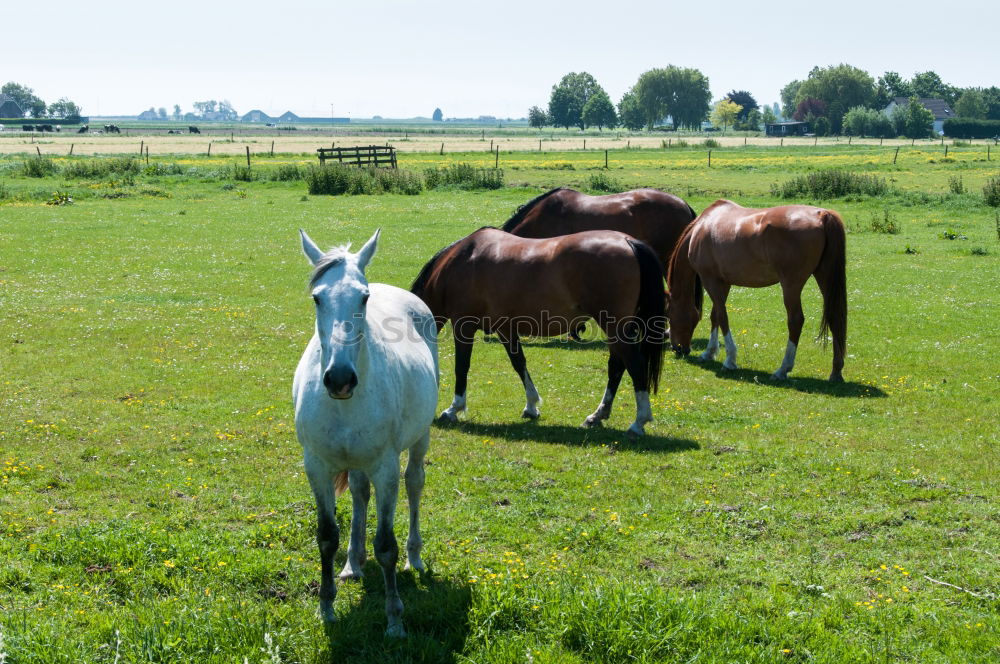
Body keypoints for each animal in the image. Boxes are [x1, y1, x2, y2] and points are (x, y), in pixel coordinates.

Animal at [292, 230, 442, 640]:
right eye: (317, 297)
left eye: (363, 296)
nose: (340, 379)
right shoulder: (317, 466)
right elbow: (326, 535)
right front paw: (326, 608)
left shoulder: (385, 468)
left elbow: (386, 545)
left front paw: (394, 620)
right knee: (360, 495)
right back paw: (353, 563)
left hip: (419, 439)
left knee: (415, 483)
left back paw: (415, 557)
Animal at [410, 226, 668, 438]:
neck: (459, 263)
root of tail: (627, 241)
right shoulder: (505, 329)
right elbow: (519, 363)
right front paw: (531, 407)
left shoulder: (464, 326)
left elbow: (462, 367)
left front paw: (453, 409)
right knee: (616, 367)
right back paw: (597, 415)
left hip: (614, 326)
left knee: (634, 365)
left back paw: (638, 422)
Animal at [668, 200, 848, 382]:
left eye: (668, 313)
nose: (678, 349)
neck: (702, 227)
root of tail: (822, 214)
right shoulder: (723, 283)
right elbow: (715, 316)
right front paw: (708, 353)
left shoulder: (710, 280)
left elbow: (722, 317)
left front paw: (730, 359)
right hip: (824, 277)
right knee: (834, 318)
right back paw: (836, 371)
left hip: (791, 285)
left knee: (796, 320)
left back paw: (782, 369)